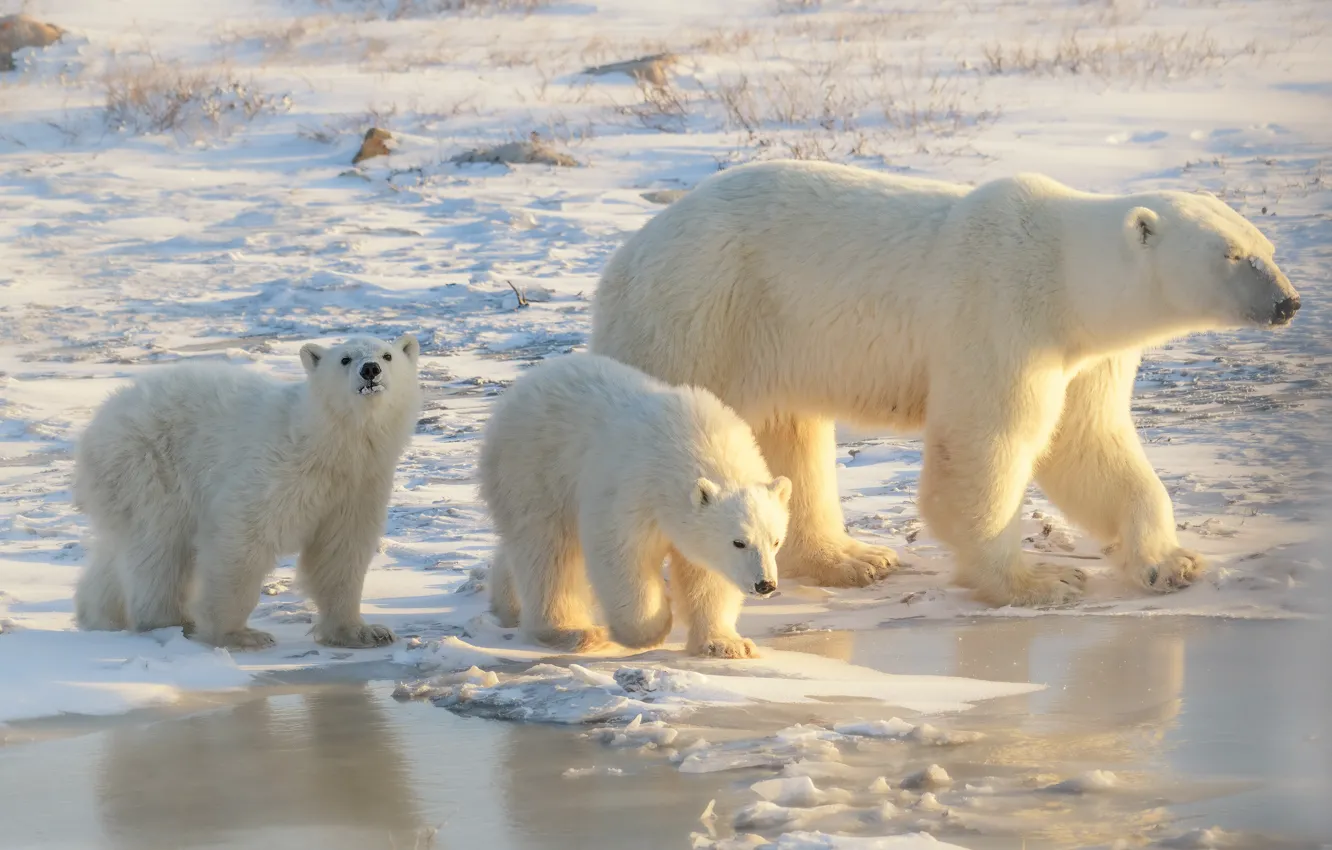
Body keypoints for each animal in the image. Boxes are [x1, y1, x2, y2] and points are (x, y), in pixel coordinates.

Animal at [73, 334, 423, 650]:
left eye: (388, 355)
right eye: (345, 359)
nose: (370, 370)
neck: (327, 445)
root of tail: (99, 420)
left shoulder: (358, 486)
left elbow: (341, 551)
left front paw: (364, 632)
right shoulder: (279, 470)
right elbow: (244, 538)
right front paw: (238, 635)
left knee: (121, 551)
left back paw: (101, 615)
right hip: (149, 463)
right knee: (159, 544)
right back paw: (170, 621)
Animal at [478, 353, 791, 659]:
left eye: (775, 541)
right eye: (739, 541)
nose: (765, 584)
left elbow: (707, 575)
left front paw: (728, 644)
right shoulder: (632, 488)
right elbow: (622, 554)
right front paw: (648, 631)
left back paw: (508, 605)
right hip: (534, 468)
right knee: (549, 553)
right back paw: (574, 632)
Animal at [591, 159, 1300, 607]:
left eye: (1267, 246)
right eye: (1233, 255)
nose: (1289, 302)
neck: (1065, 273)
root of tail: (626, 256)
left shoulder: (1087, 355)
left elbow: (1091, 444)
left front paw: (1171, 562)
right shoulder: (1000, 309)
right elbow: (987, 443)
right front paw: (1038, 583)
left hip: (769, 341)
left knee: (788, 435)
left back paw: (853, 559)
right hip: (697, 317)